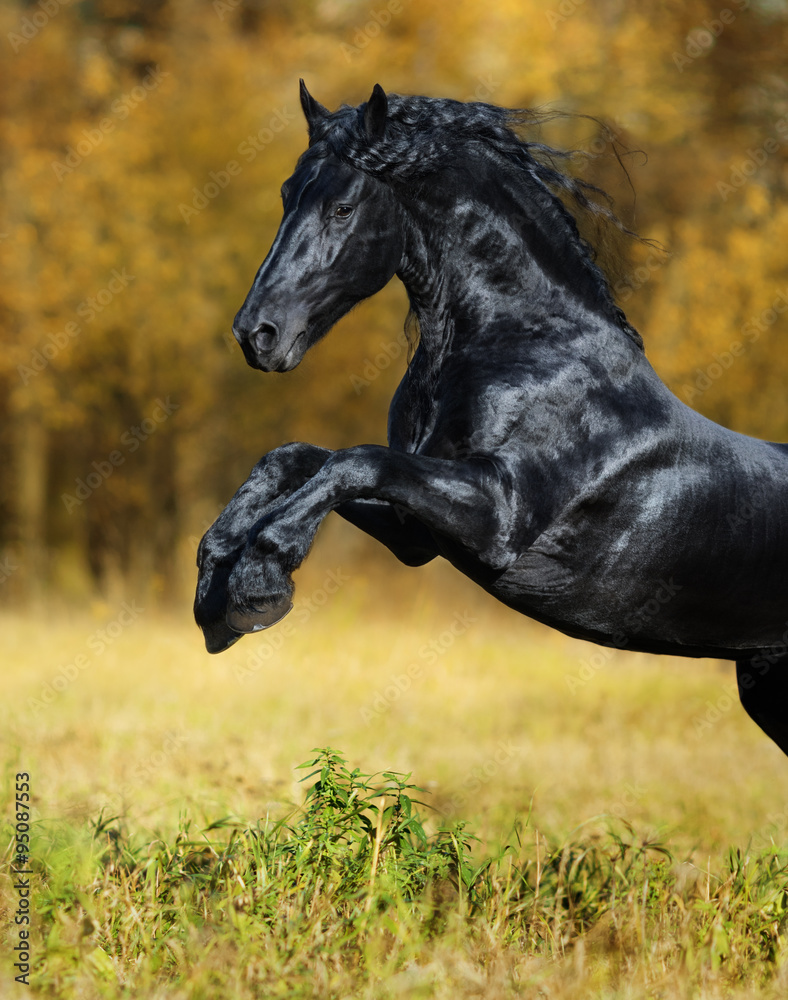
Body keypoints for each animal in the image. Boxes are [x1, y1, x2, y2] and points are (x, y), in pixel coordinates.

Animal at [195, 82, 788, 757]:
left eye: (342, 207)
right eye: (286, 195)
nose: (256, 335)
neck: (521, 344)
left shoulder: (499, 515)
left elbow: (356, 461)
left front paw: (260, 580)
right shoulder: (415, 533)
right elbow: (298, 458)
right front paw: (215, 582)